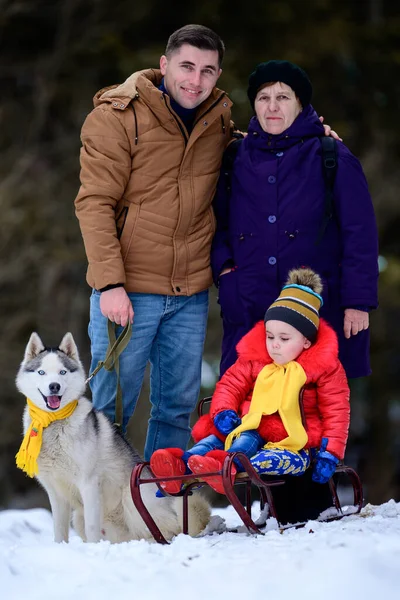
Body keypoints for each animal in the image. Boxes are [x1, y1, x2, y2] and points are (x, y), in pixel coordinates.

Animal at [15, 332, 209, 544]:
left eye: (62, 372)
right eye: (41, 372)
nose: (54, 386)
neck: (53, 423)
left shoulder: (89, 484)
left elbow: (92, 528)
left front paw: (93, 549)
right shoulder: (56, 492)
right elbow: (59, 531)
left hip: (131, 499)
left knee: (168, 530)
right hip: (80, 517)